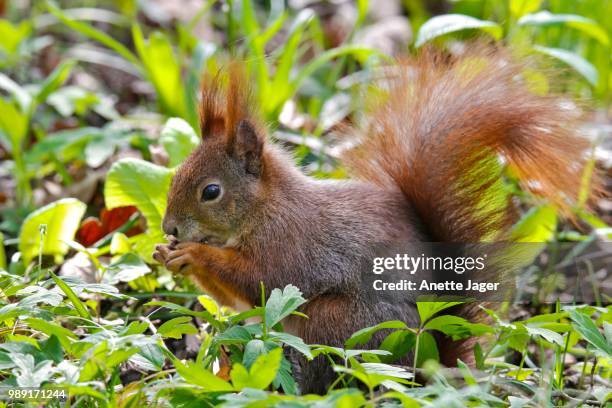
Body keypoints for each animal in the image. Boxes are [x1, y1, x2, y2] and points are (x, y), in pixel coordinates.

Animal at [153, 47, 592, 392]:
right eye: (174, 175)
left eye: (211, 191)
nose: (169, 228)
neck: (265, 209)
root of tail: (426, 364)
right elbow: (235, 298)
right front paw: (165, 253)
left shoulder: (291, 244)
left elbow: (262, 280)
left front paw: (193, 254)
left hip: (340, 325)